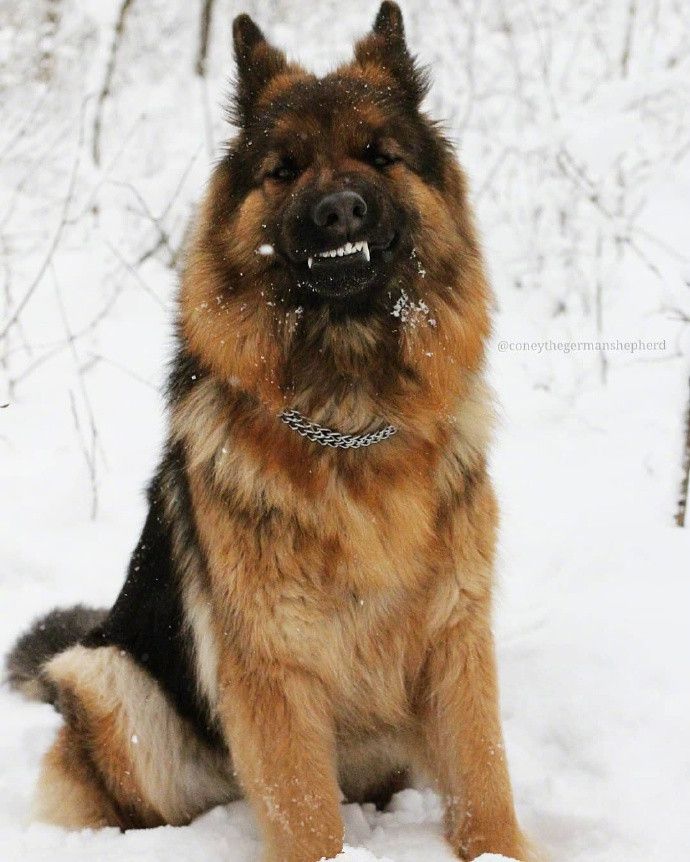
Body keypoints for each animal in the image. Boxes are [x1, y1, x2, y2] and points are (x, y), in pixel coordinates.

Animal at [5, 6, 528, 862]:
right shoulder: (274, 669)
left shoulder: (456, 637)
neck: (348, 418)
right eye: (284, 169)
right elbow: (305, 812)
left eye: (378, 156)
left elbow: (483, 781)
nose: (339, 210)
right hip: (109, 677)